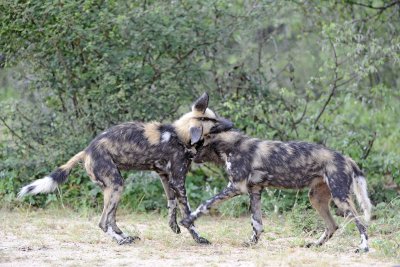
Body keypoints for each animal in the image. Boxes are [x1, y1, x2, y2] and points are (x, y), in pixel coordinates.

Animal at [17, 93, 233, 246]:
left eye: (216, 117)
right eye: (214, 125)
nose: (231, 124)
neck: (179, 136)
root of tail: (87, 151)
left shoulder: (166, 178)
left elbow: (171, 205)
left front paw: (173, 226)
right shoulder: (179, 181)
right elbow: (187, 214)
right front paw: (198, 238)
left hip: (115, 188)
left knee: (111, 219)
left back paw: (126, 236)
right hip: (116, 185)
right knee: (103, 222)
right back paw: (121, 241)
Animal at [183, 131, 374, 254]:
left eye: (195, 145)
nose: (187, 154)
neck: (229, 146)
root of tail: (346, 158)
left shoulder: (236, 187)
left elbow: (205, 204)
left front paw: (187, 220)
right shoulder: (255, 191)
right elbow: (257, 224)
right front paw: (251, 243)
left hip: (340, 198)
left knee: (361, 224)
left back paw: (363, 248)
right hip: (316, 198)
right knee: (333, 225)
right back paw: (315, 245)